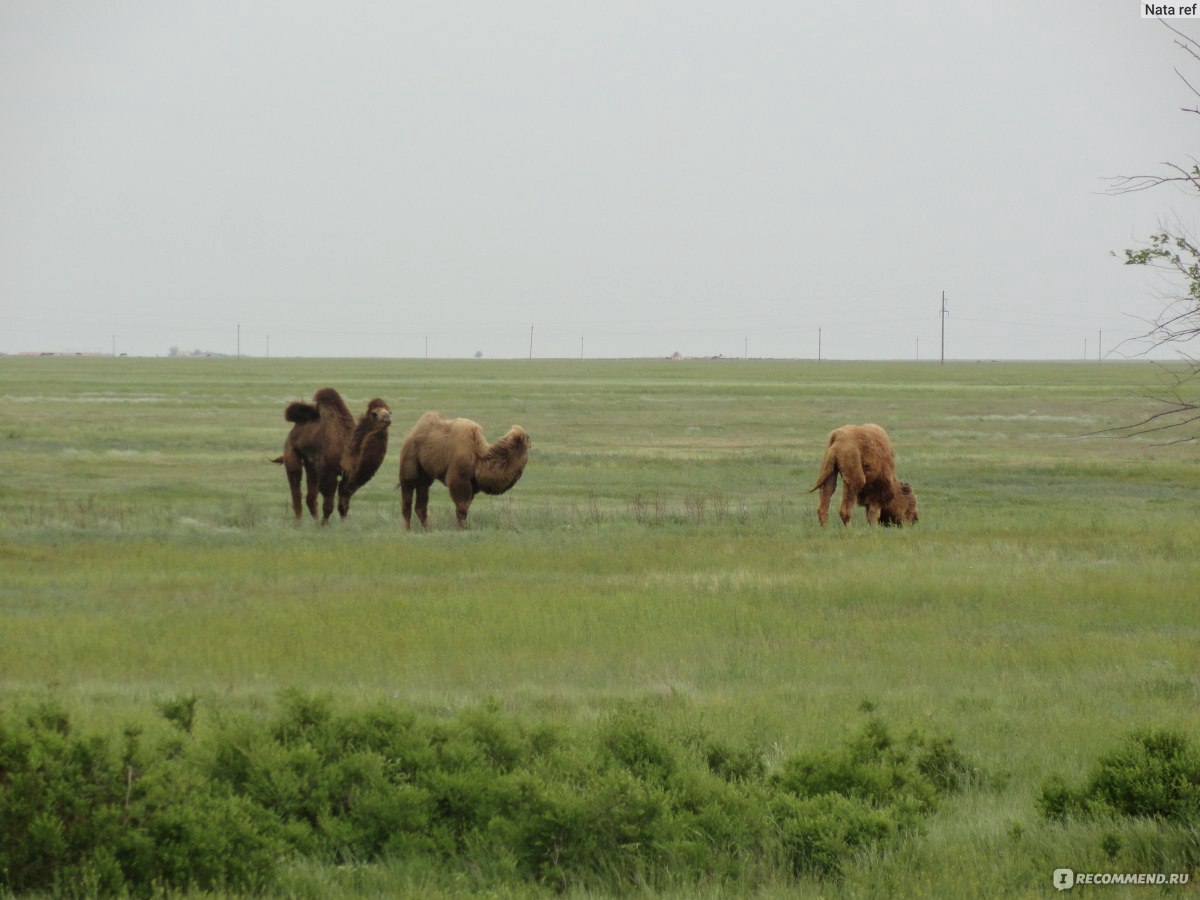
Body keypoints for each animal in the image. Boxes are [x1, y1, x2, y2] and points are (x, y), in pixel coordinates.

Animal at [270, 388, 391, 528]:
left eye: (390, 411)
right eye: (374, 413)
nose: (388, 418)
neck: (345, 452)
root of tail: (294, 428)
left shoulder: (348, 476)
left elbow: (344, 504)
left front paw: (343, 524)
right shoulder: (328, 471)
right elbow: (328, 504)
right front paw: (324, 525)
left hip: (311, 463)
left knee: (310, 495)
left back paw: (314, 520)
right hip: (292, 451)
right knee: (295, 485)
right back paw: (299, 522)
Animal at [398, 415, 530, 532]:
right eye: (526, 439)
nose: (530, 439)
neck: (477, 457)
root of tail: (411, 435)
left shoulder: (472, 486)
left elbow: (466, 507)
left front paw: (464, 528)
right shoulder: (459, 479)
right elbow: (462, 508)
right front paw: (461, 530)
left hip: (425, 475)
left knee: (422, 497)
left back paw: (428, 529)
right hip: (409, 461)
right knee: (407, 494)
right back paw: (408, 530)